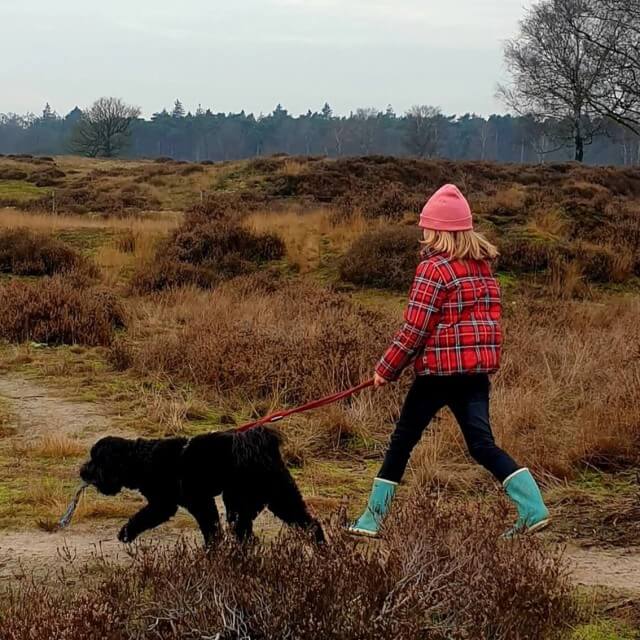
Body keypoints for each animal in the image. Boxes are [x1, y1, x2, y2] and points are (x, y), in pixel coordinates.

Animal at [80, 424, 324, 544]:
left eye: (96, 460)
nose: (82, 471)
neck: (141, 459)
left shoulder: (179, 503)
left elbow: (142, 517)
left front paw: (126, 533)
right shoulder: (187, 504)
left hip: (242, 503)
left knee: (246, 536)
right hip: (281, 497)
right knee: (311, 524)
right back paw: (322, 552)